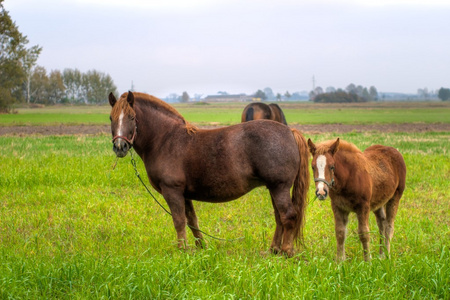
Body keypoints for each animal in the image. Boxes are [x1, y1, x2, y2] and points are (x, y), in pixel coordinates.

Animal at [109, 91, 310, 255]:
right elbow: (191, 220)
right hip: (274, 188)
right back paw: (273, 249)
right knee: (279, 217)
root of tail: (289, 131)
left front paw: (182, 250)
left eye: (132, 117)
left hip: (279, 187)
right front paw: (200, 247)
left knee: (288, 216)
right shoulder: (184, 194)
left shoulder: (172, 191)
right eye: (111, 118)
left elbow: (179, 220)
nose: (120, 146)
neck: (166, 140)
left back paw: (286, 251)